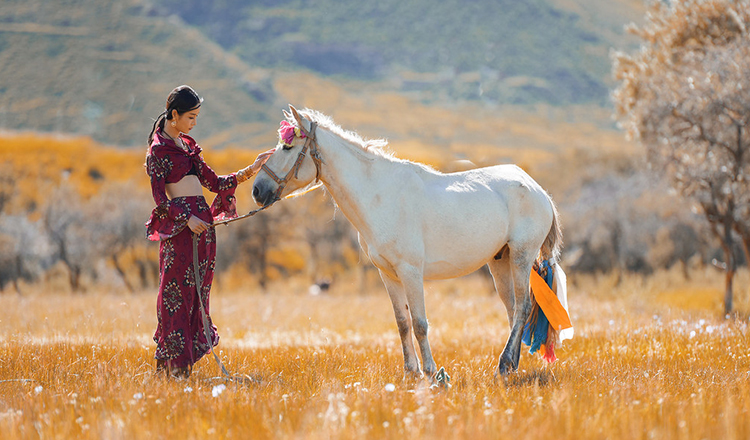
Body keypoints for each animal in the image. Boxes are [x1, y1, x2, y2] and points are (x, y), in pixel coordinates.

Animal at [253, 105, 564, 378]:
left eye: (288, 147)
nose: (257, 190)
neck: (379, 195)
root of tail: (538, 190)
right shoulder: (388, 274)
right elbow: (402, 323)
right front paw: (410, 372)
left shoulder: (411, 272)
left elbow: (420, 324)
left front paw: (431, 372)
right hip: (500, 261)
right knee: (512, 309)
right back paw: (511, 365)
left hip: (521, 256)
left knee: (523, 306)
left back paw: (504, 363)